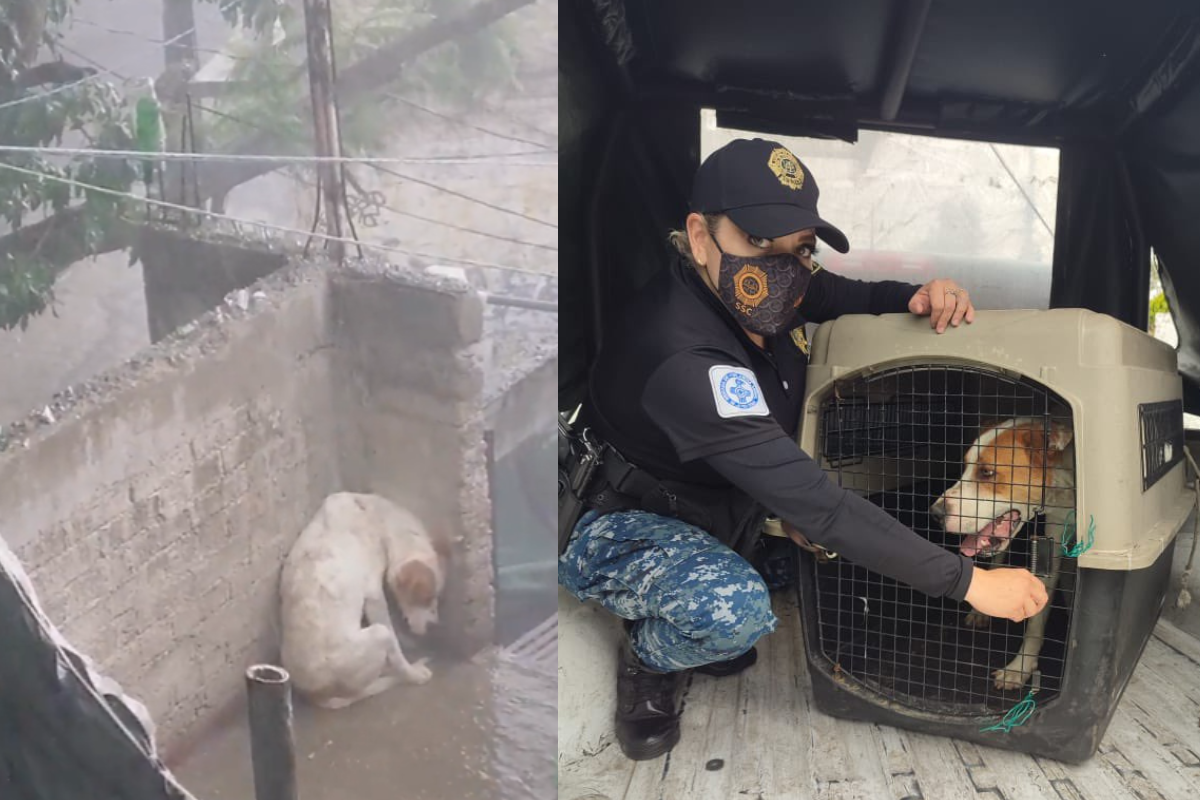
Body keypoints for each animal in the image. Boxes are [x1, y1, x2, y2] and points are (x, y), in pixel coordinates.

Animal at [278, 491, 451, 710]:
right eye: (427, 598)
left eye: (436, 597)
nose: (434, 628)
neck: (378, 518)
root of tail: (317, 695)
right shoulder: (374, 596)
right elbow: (396, 647)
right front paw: (411, 670)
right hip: (378, 634)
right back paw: (410, 674)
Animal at [926, 417, 1080, 690]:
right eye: (965, 466)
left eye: (987, 472)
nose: (935, 514)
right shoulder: (1053, 536)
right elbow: (1036, 621)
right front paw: (1020, 668)